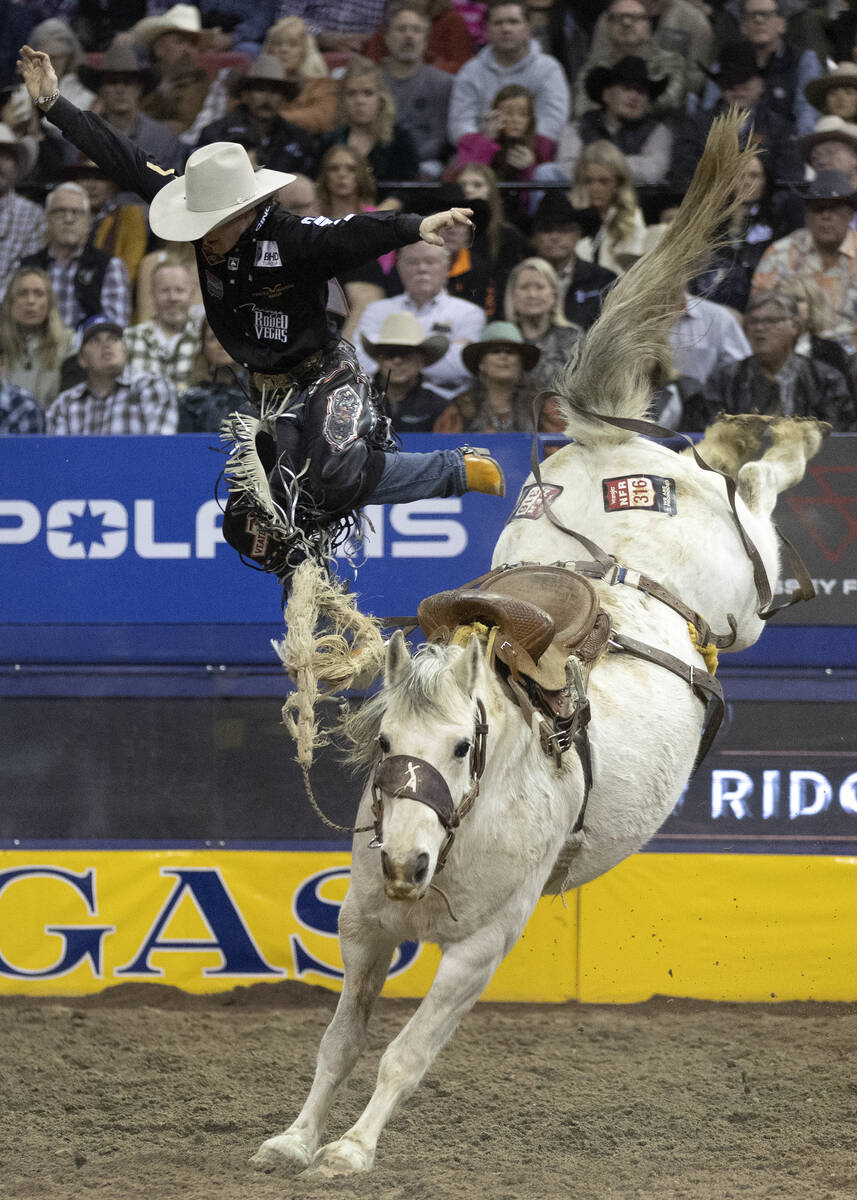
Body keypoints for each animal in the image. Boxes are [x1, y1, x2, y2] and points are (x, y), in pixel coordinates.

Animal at [253, 114, 825, 1180]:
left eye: (464, 745)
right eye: (383, 744)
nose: (404, 859)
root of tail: (609, 456)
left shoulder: (483, 948)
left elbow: (401, 1055)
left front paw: (350, 1150)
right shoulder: (363, 929)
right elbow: (339, 1041)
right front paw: (298, 1138)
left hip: (740, 592)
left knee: (755, 494)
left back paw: (789, 435)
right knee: (729, 470)